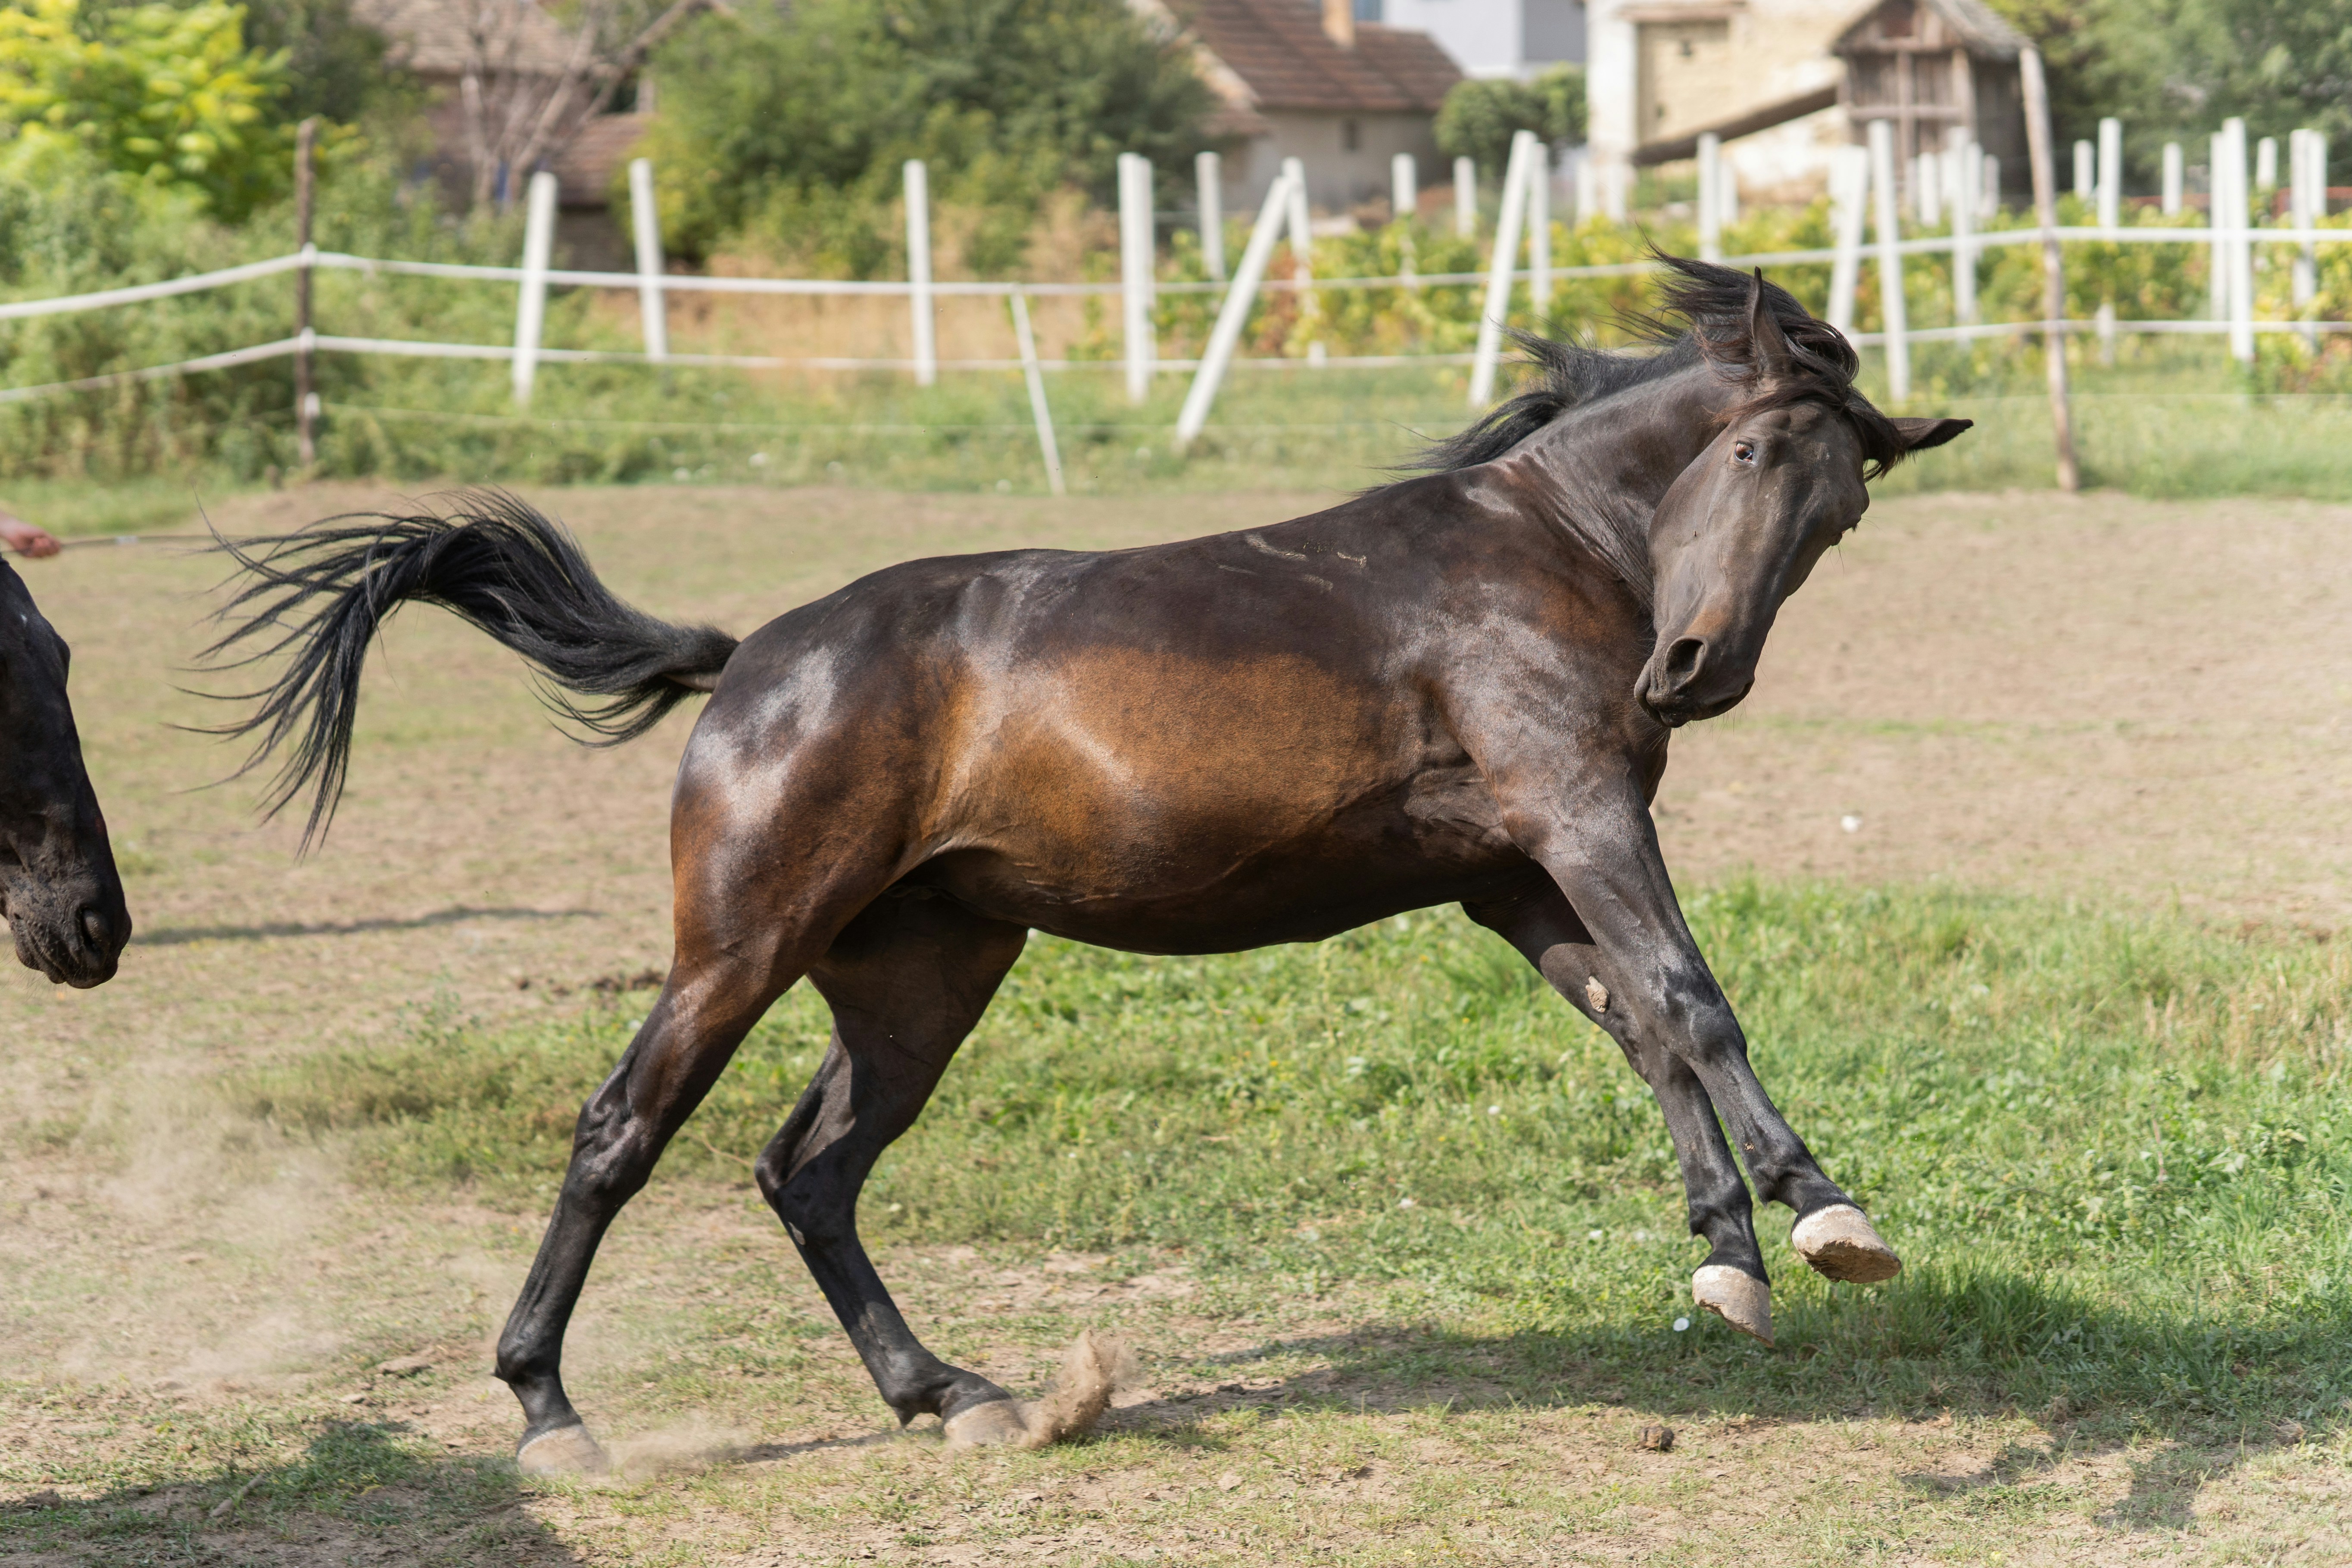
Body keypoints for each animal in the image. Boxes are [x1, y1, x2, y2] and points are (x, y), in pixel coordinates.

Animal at [207, 258, 1969, 1473]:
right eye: (1747, 457)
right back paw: (551, 1413)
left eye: (1840, 511)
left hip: (919, 975)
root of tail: (751, 658)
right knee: (619, 1133)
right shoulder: (1581, 813)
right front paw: (1826, 1216)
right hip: (741, 944)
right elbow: (1693, 998)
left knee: (807, 1170)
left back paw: (955, 1395)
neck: (1532, 554)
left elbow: (1647, 1024)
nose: (1695, 667)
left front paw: (1729, 1255)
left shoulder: (1519, 868)